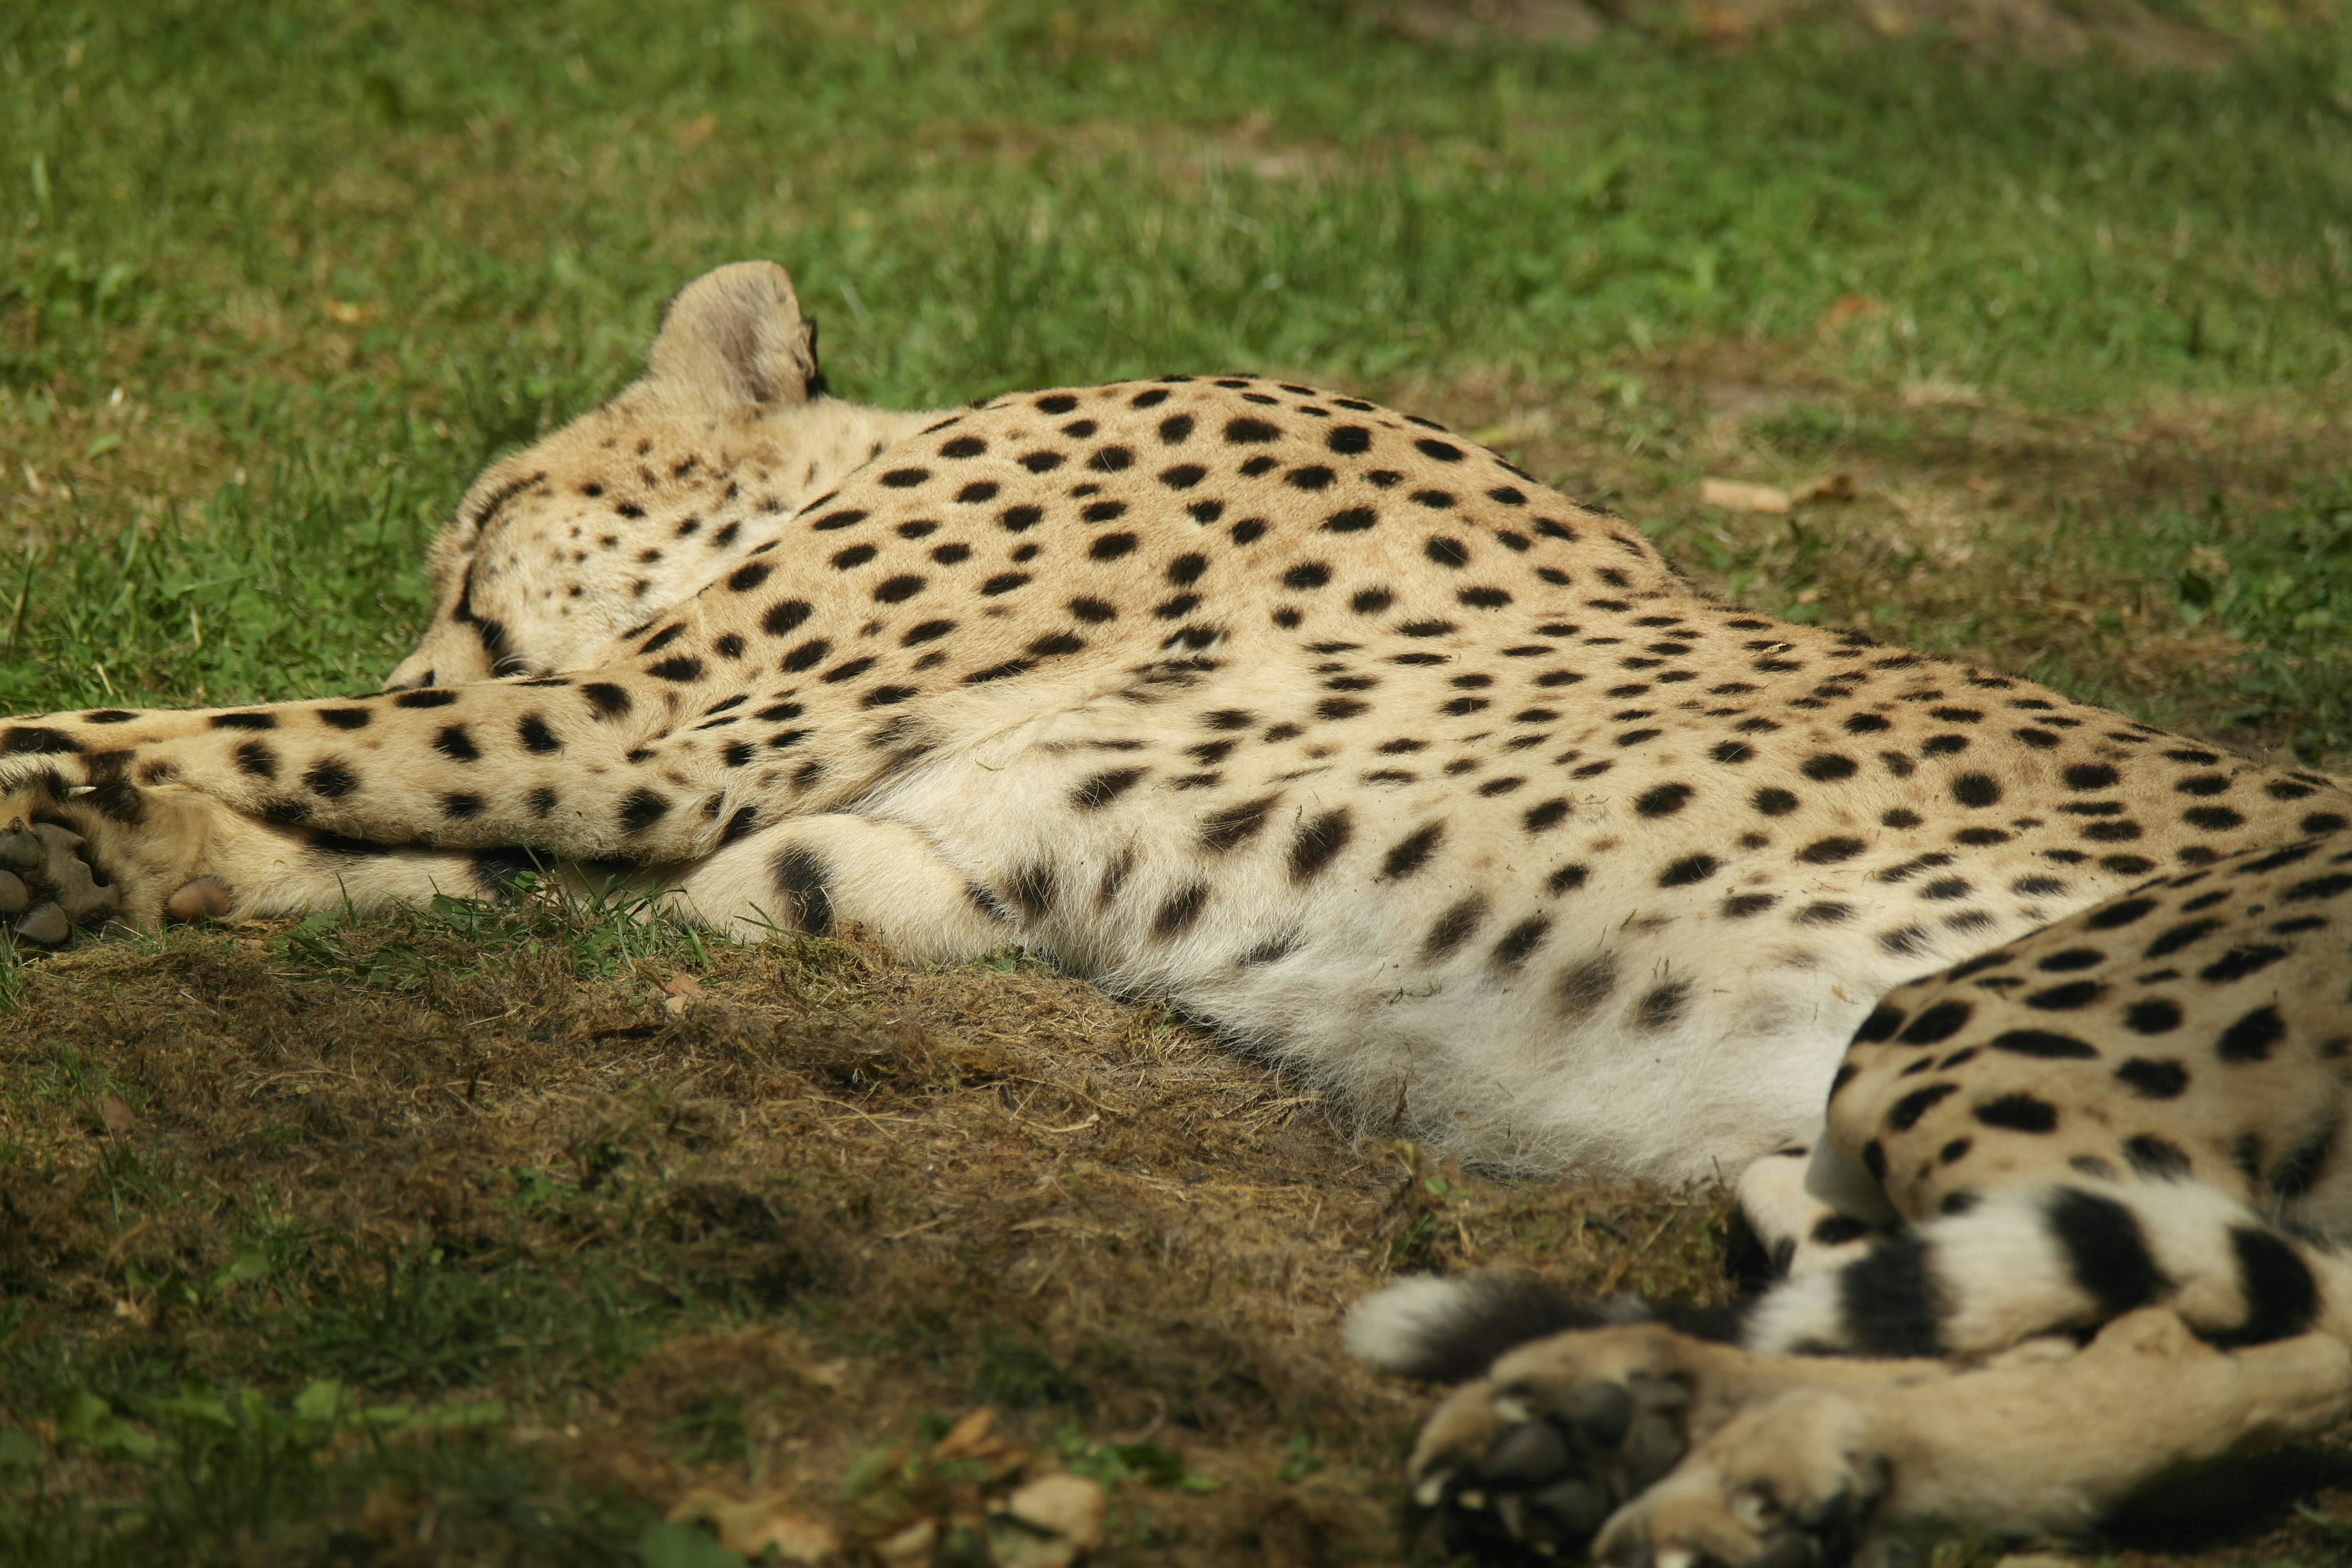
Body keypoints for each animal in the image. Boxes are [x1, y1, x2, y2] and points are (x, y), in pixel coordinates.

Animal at [2, 260, 2347, 1567]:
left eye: (480, 517)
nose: (431, 622)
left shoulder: (655, 730)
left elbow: (243, 724)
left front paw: (66, 775)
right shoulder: (778, 826)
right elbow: (347, 813)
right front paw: (111, 854)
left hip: (1977, 1022)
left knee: (2226, 1342)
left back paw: (1744, 1470)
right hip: (1834, 1148)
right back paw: (1612, 1418)